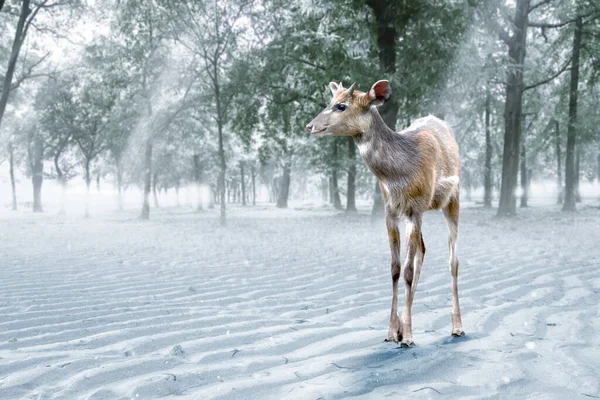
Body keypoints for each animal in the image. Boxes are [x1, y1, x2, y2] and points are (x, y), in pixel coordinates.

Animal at [304, 80, 464, 346]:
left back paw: (457, 327)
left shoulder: (415, 208)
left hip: (453, 198)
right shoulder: (390, 211)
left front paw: (408, 336)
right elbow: (395, 269)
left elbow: (407, 270)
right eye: (330, 101)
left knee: (452, 259)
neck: (397, 176)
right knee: (423, 250)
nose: (310, 126)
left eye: (341, 106)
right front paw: (392, 332)